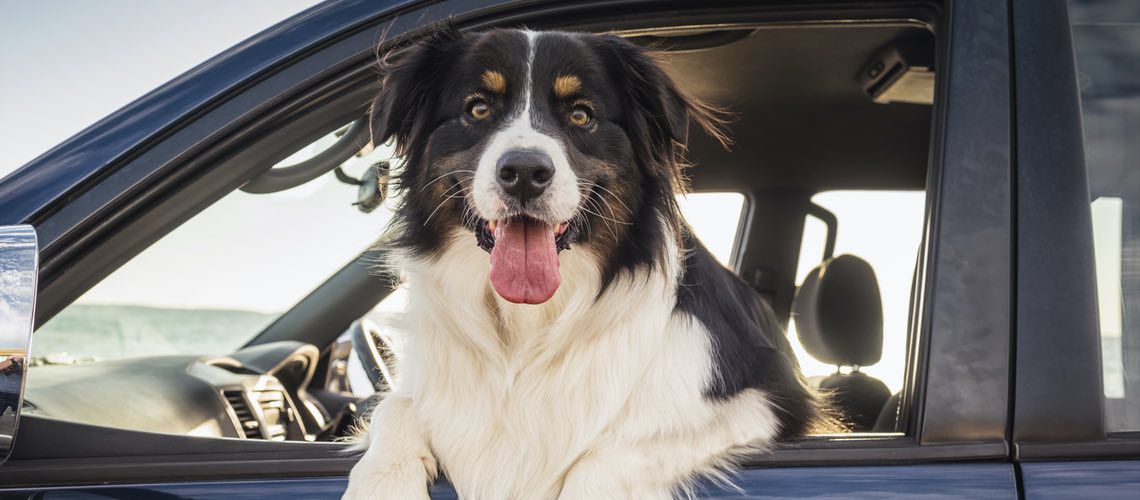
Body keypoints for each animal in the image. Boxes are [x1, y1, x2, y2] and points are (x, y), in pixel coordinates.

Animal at [342, 27, 825, 500]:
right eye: (477, 108)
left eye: (580, 115)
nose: (524, 172)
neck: (525, 328)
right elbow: (395, 406)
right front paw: (382, 482)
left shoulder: (767, 399)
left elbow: (612, 455)